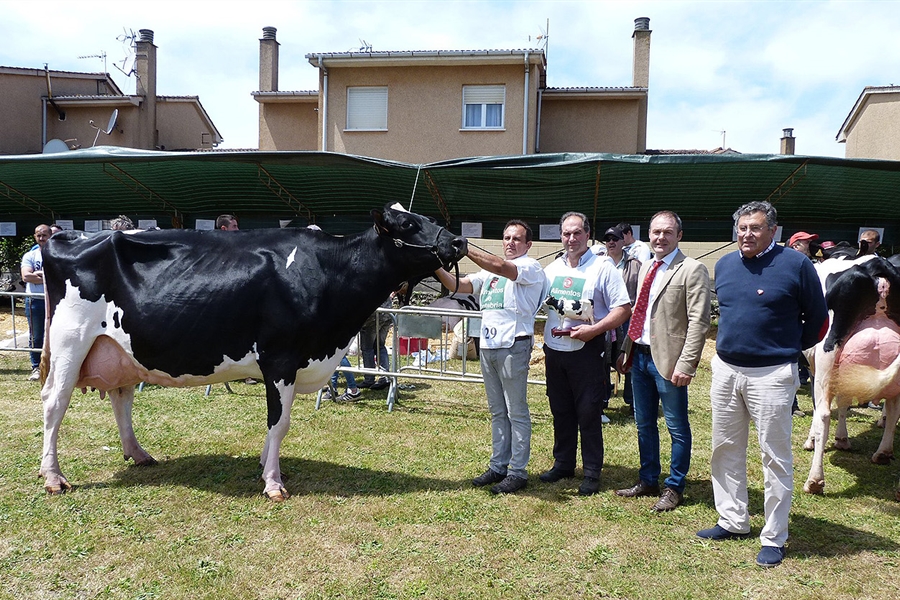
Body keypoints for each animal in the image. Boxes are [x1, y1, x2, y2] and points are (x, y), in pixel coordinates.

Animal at [38, 204, 468, 500]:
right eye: (409, 225)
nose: (459, 241)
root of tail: (64, 237)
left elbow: (277, 423)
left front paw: (267, 465)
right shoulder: (280, 357)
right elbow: (280, 422)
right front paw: (273, 483)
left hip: (121, 349)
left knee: (121, 397)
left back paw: (138, 453)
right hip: (70, 342)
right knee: (54, 404)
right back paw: (54, 477)